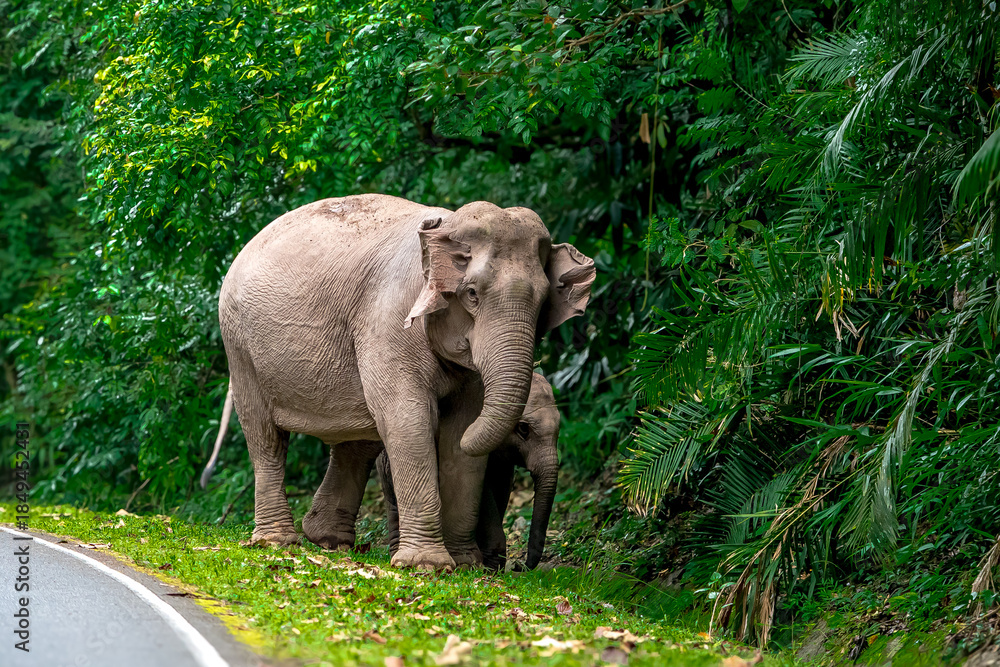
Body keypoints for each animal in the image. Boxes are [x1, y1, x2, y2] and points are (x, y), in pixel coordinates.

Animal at [377, 372, 560, 571]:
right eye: (523, 428)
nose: (520, 566)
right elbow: (484, 495)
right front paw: (489, 566)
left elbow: (501, 488)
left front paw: (491, 566)